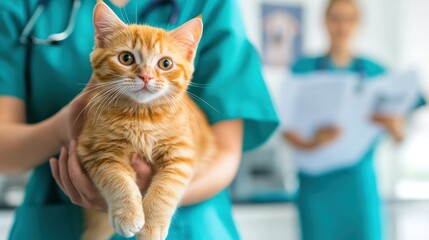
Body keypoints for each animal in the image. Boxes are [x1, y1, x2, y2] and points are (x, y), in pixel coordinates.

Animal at [76, 0, 214, 239]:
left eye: (165, 63)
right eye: (126, 58)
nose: (146, 76)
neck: (140, 116)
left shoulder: (182, 153)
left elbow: (165, 189)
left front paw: (151, 225)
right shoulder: (96, 149)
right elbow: (117, 179)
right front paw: (128, 213)